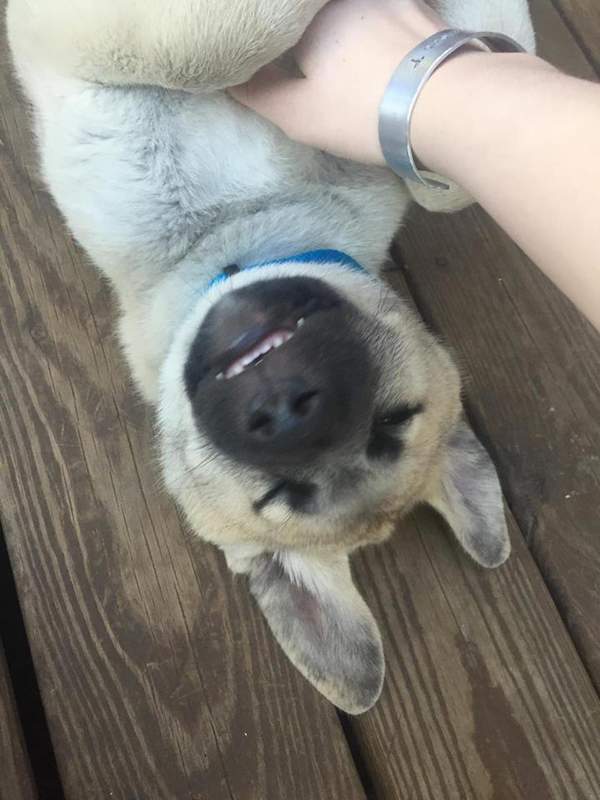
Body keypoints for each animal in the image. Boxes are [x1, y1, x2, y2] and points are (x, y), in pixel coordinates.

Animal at [8, 0, 536, 712]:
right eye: (280, 495)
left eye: (392, 423)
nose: (288, 410)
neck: (239, 239)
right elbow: (212, 51)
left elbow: (444, 182)